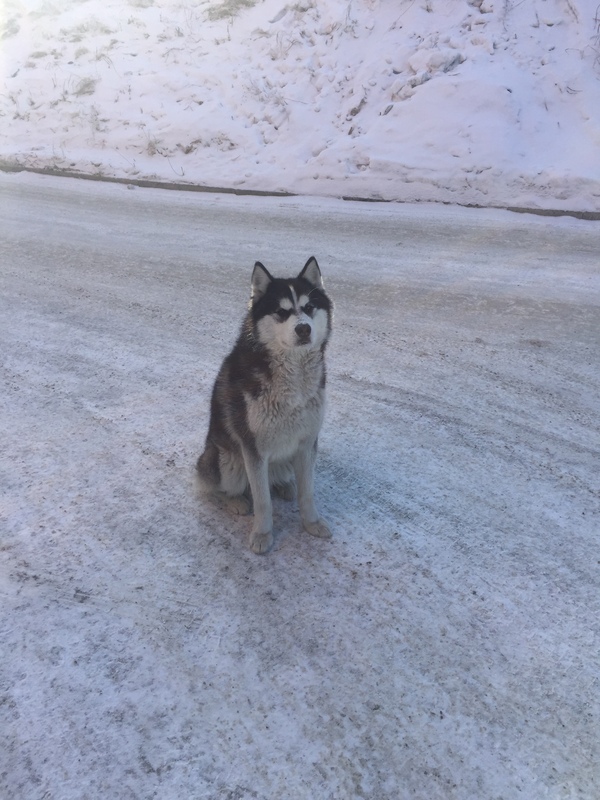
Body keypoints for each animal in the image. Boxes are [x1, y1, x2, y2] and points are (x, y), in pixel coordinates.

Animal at [197, 260, 330, 552]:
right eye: (281, 312)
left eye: (309, 308)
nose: (303, 329)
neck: (293, 375)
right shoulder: (253, 448)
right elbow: (262, 501)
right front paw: (262, 534)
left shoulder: (307, 441)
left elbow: (308, 492)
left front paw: (312, 523)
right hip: (226, 460)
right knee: (212, 488)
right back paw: (235, 501)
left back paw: (286, 486)